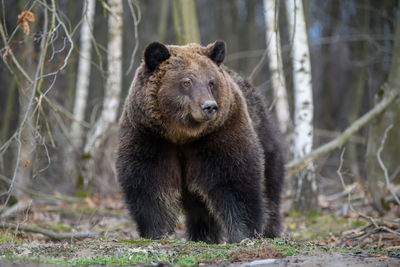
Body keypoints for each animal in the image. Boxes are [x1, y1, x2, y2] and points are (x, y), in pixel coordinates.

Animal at [115, 40, 284, 245]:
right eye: (186, 81)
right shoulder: (150, 137)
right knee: (200, 207)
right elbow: (149, 184)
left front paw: (243, 234)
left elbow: (235, 179)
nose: (209, 106)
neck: (182, 135)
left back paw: (269, 230)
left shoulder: (219, 133)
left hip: (264, 136)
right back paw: (203, 236)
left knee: (269, 189)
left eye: (211, 82)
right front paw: (156, 232)